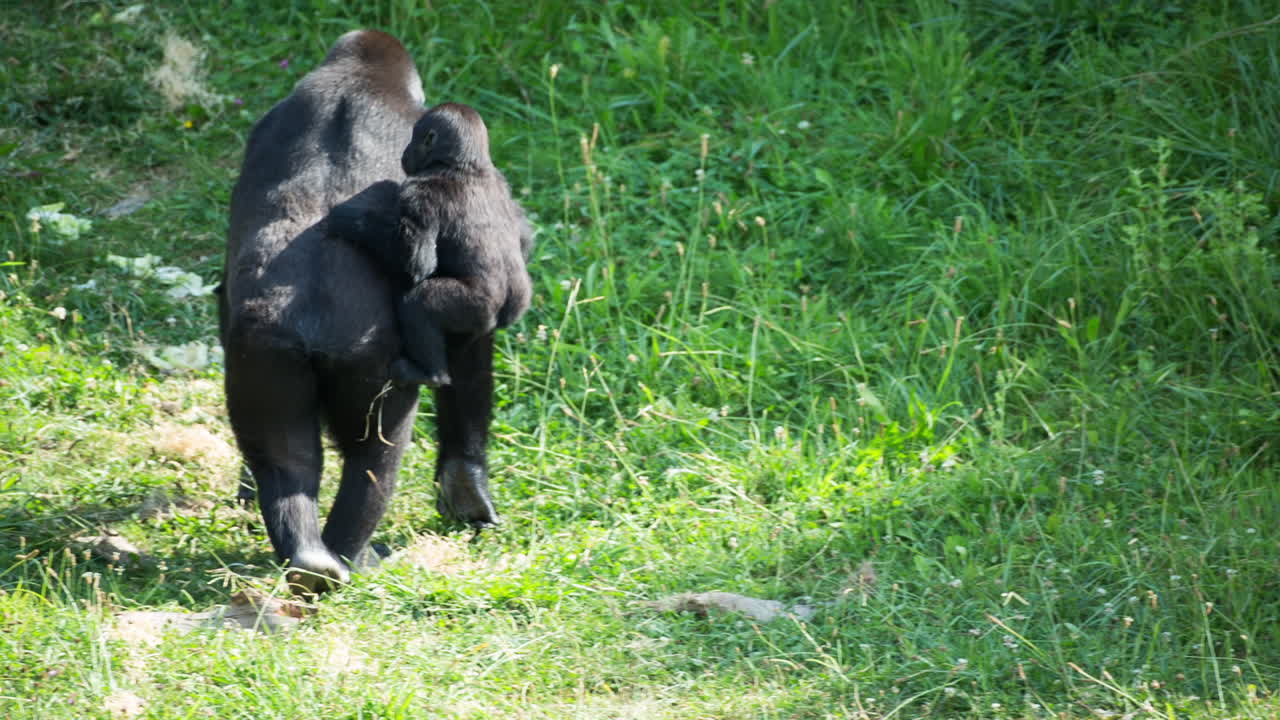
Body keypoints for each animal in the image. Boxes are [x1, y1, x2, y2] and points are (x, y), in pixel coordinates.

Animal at [221, 30, 505, 594]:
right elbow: (469, 339)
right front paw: (466, 482)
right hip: (368, 362)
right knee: (376, 459)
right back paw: (351, 555)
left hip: (261, 350)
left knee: (286, 458)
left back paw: (310, 559)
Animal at [327, 102, 533, 388]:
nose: (405, 153)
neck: (466, 165)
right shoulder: (502, 181)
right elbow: (523, 236)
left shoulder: (417, 192)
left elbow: (417, 260)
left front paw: (351, 221)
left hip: (476, 308)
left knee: (419, 304)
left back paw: (431, 374)